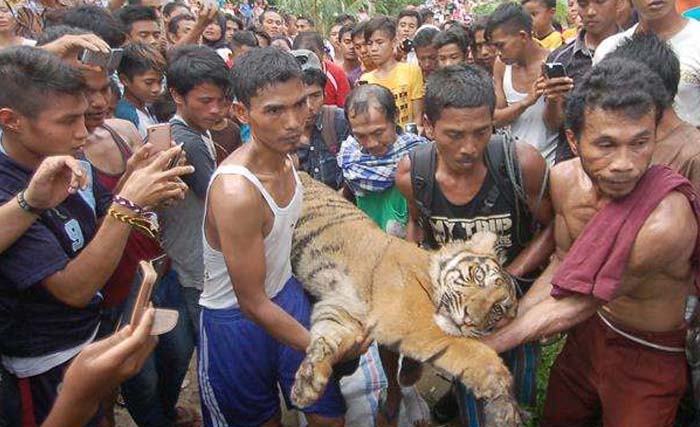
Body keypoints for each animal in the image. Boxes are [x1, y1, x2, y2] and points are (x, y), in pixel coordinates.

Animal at [288, 174, 524, 427]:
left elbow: (326, 340)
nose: (470, 319)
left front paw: (307, 385)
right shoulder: (418, 323)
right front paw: (506, 402)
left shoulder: (341, 312)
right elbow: (472, 351)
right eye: (478, 276)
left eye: (497, 309)